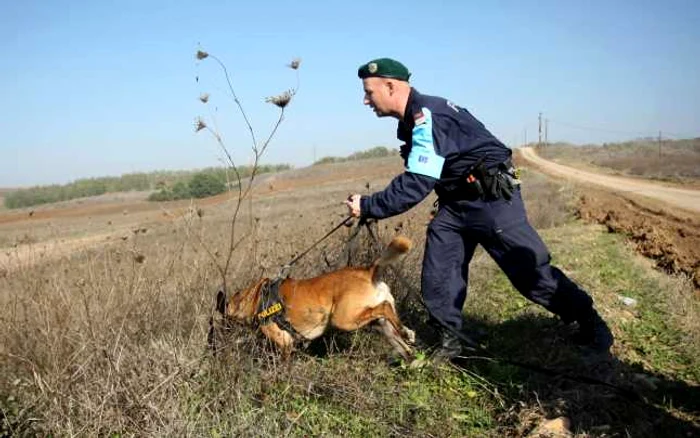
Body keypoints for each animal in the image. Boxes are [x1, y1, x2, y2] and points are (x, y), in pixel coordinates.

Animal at [213, 236, 416, 360]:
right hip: (380, 325)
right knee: (398, 337)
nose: (214, 344)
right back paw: (410, 348)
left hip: (344, 319)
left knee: (385, 307)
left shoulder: (285, 344)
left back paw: (406, 333)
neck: (255, 298)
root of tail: (368, 271)